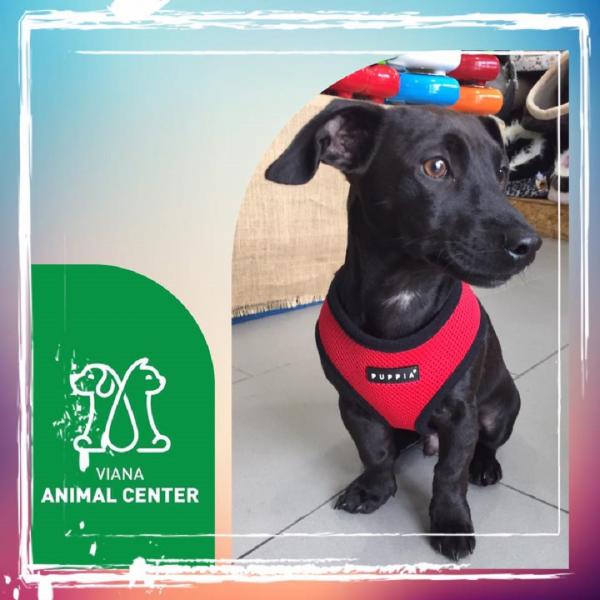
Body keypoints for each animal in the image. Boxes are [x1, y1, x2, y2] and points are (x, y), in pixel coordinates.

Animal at [264, 99, 541, 560]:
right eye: (436, 166)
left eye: (502, 172)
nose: (530, 245)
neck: (405, 292)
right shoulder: (355, 408)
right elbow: (373, 453)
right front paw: (375, 490)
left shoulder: (461, 417)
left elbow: (450, 473)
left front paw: (450, 522)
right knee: (395, 445)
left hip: (500, 409)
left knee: (485, 444)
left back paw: (485, 464)